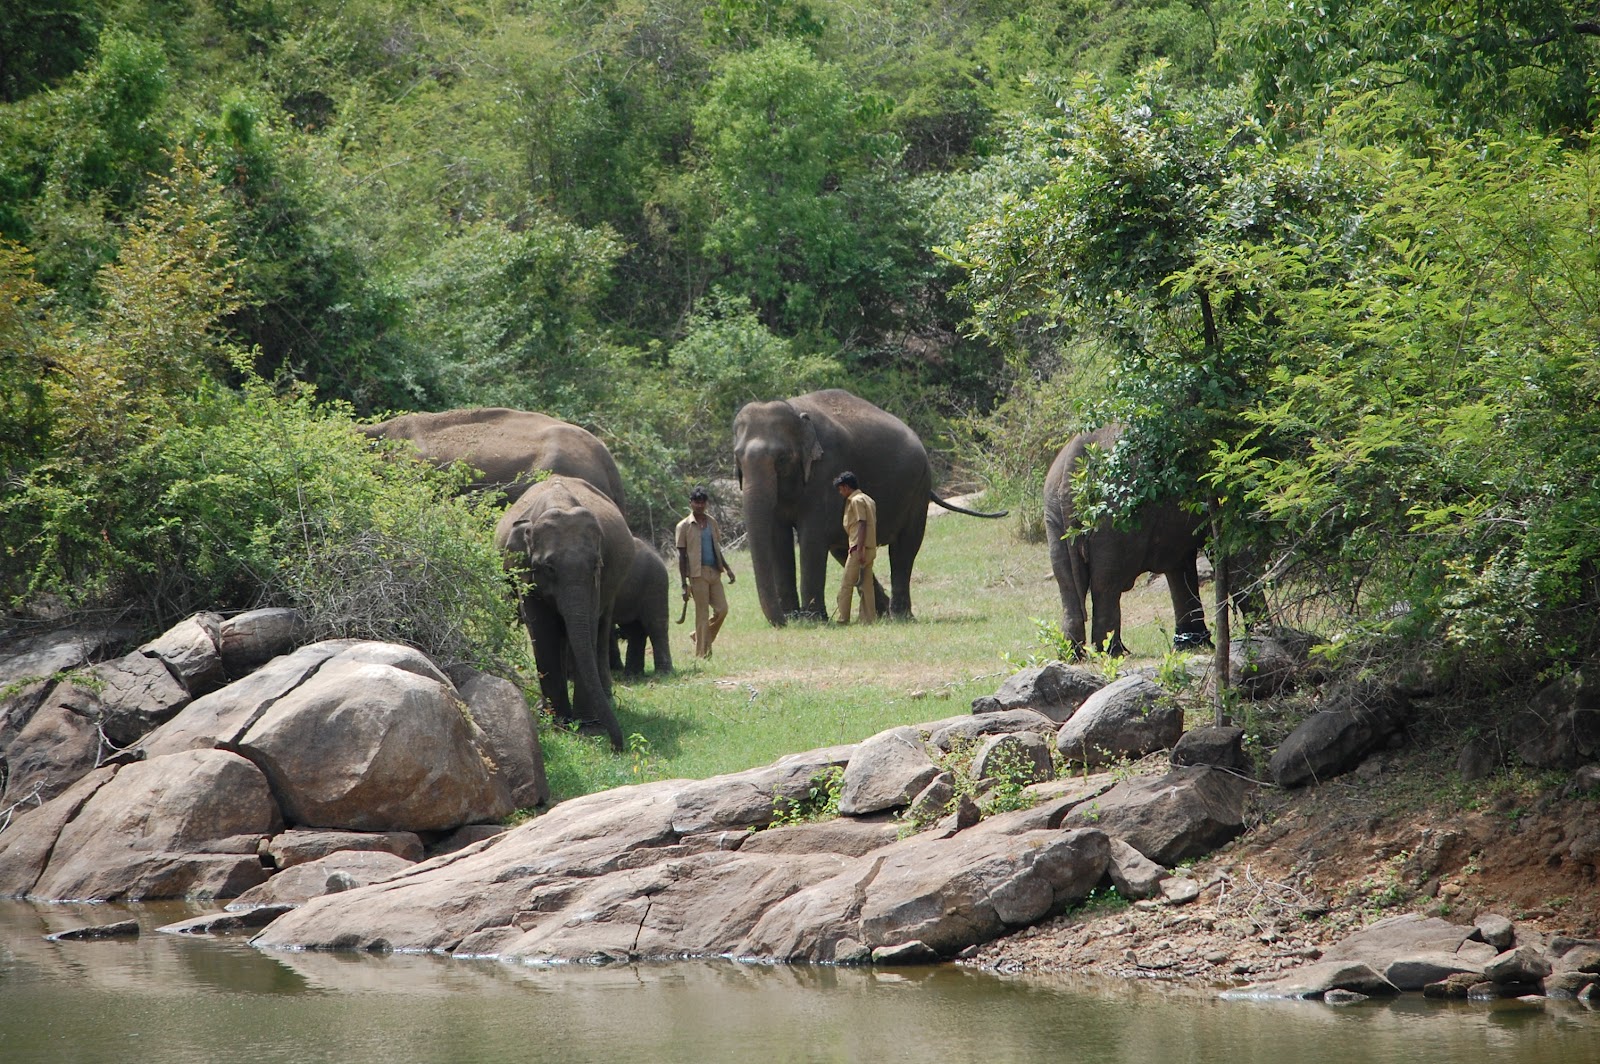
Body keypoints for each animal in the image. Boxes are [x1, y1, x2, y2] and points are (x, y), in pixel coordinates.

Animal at [492, 473, 636, 745]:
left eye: (595, 565)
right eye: (549, 568)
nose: (618, 745)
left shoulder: (597, 580)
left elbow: (587, 625)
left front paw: (589, 726)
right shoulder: (526, 572)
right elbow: (542, 628)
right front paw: (561, 722)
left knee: (601, 627)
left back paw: (606, 699)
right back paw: (544, 709)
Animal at [732, 388, 1004, 624]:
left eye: (782, 459)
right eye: (737, 457)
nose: (782, 622)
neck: (797, 413)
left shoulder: (825, 471)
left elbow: (812, 538)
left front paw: (812, 620)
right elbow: (778, 539)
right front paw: (796, 619)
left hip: (918, 488)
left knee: (904, 548)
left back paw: (900, 617)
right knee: (845, 550)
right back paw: (882, 614)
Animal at [1036, 422, 1209, 656]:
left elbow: (1180, 563)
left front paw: (1191, 646)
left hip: (1054, 511)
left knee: (1067, 583)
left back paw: (1074, 653)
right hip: (1115, 513)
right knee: (1106, 584)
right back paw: (1113, 652)